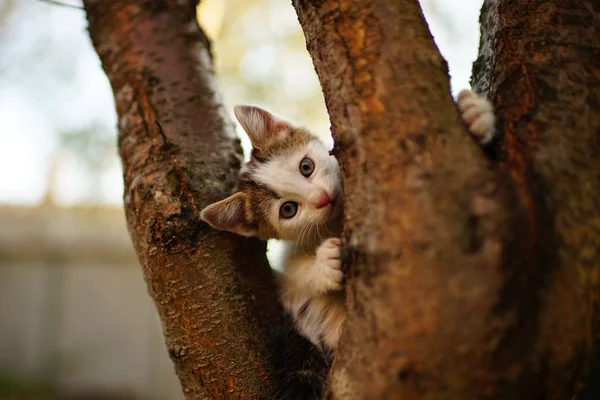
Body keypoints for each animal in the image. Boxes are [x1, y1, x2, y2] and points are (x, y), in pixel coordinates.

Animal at [199, 90, 494, 354]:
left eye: (306, 167)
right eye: (288, 209)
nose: (323, 198)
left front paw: (474, 115)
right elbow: (293, 277)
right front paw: (323, 265)